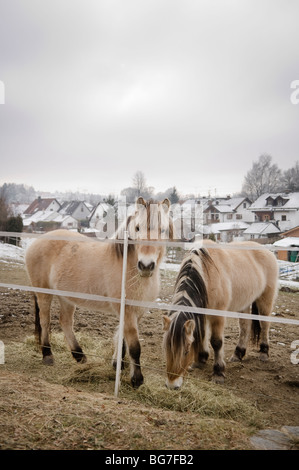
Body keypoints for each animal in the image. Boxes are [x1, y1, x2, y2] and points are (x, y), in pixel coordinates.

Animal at [27, 196, 176, 388]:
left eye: (163, 229)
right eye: (137, 228)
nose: (146, 265)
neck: (128, 267)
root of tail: (37, 241)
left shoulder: (138, 311)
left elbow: (122, 340)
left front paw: (118, 365)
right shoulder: (127, 310)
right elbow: (134, 346)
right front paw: (137, 379)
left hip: (67, 297)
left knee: (65, 322)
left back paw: (79, 356)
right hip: (44, 293)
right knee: (45, 321)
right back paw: (47, 355)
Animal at [164, 242, 278, 390]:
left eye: (186, 351)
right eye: (166, 348)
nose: (172, 385)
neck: (205, 273)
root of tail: (267, 251)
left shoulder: (217, 315)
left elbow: (216, 342)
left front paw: (218, 373)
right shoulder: (202, 313)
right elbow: (201, 335)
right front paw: (201, 359)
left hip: (265, 299)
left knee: (265, 325)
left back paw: (264, 352)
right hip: (245, 303)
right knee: (245, 327)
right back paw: (238, 353)